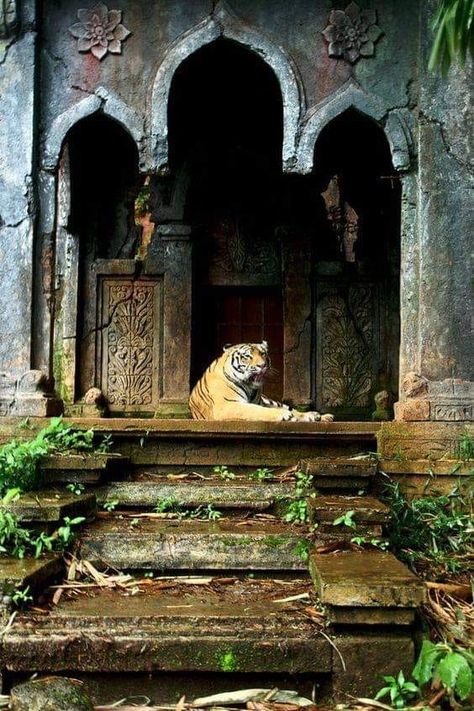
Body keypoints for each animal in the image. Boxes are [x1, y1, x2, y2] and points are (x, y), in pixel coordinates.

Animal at [187, 340, 336, 422]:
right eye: (247, 356)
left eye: (263, 354)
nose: (262, 365)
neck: (249, 386)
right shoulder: (227, 405)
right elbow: (257, 411)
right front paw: (283, 415)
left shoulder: (260, 402)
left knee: (292, 409)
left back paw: (320, 416)